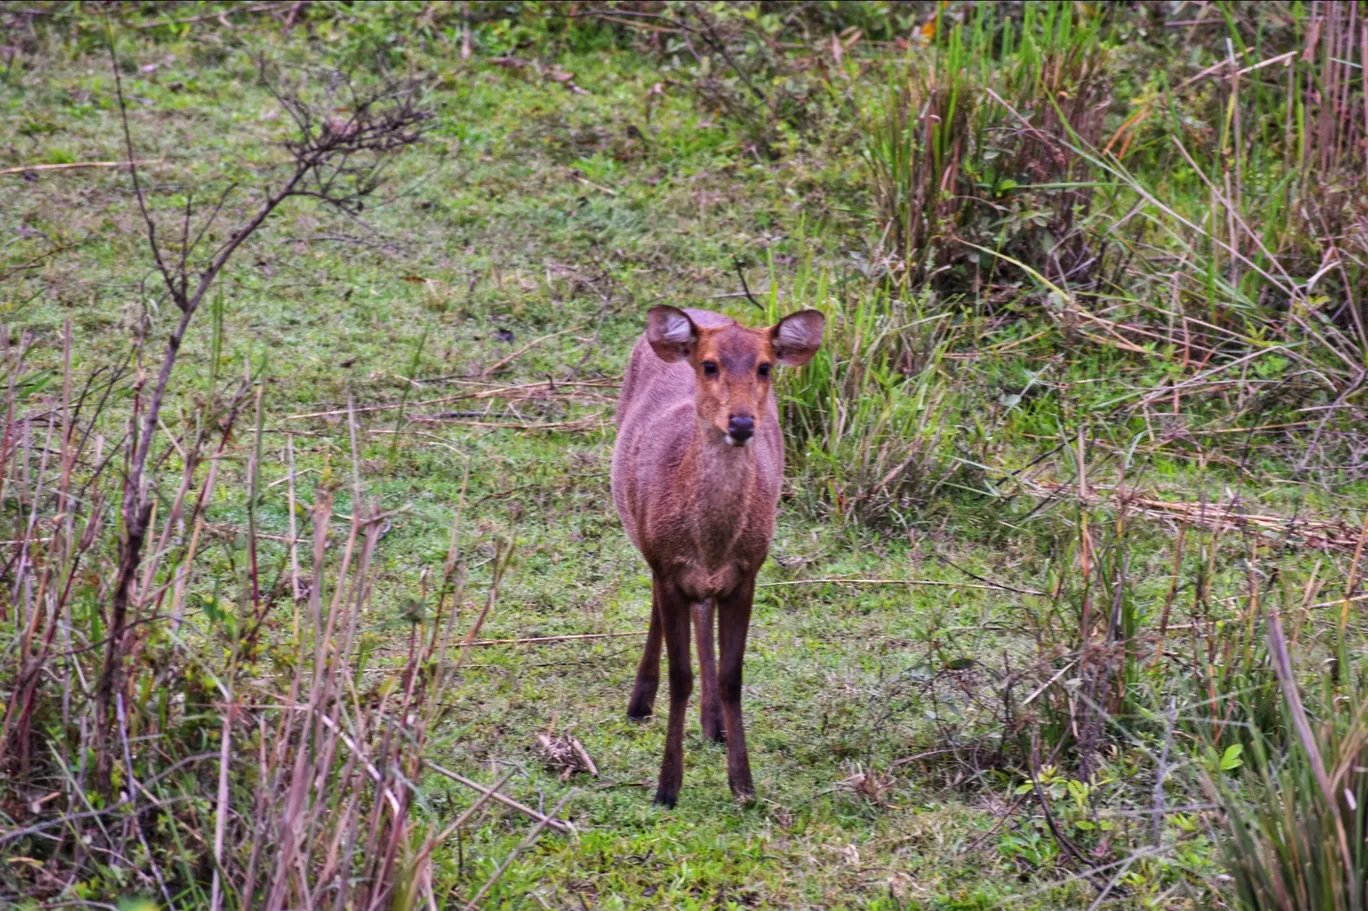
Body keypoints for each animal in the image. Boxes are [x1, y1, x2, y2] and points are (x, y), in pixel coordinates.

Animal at [612, 303, 820, 804]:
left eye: (765, 366)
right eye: (709, 365)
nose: (741, 423)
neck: (710, 542)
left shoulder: (747, 574)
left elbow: (732, 677)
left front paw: (743, 785)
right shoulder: (668, 566)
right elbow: (680, 676)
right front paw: (667, 789)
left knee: (701, 612)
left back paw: (713, 726)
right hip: (644, 540)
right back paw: (639, 704)